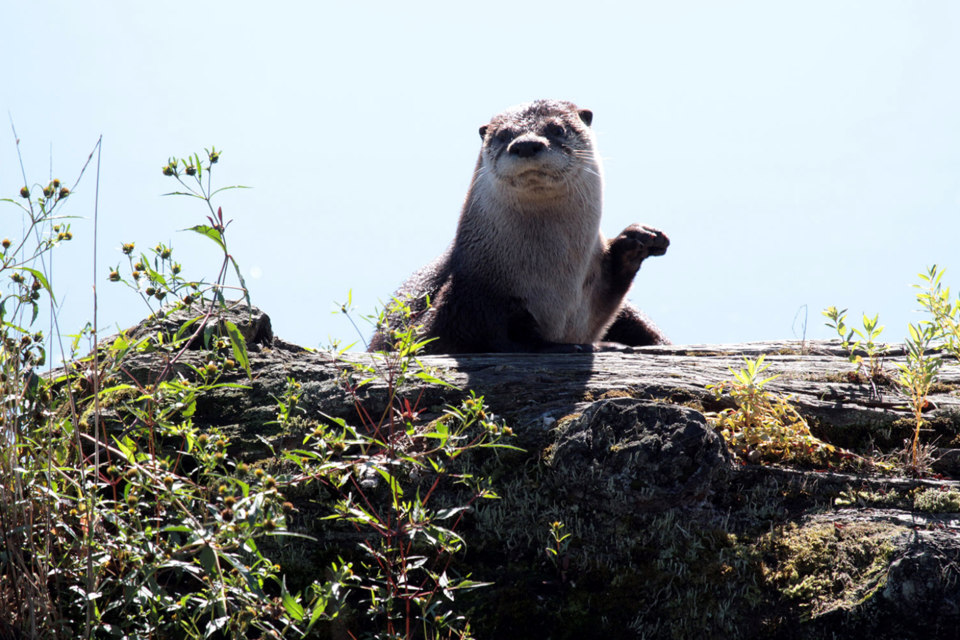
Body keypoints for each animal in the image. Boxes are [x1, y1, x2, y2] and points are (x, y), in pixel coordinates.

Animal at [372, 99, 672, 356]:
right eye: (503, 135)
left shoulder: (594, 291)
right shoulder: (468, 297)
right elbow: (488, 337)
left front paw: (639, 239)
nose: (526, 144)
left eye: (557, 129)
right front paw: (562, 347)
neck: (554, 281)